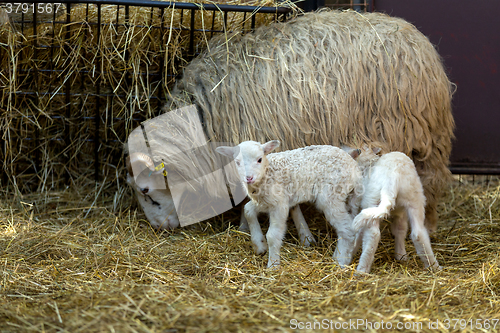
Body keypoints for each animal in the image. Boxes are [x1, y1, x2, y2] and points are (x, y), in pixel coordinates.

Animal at [127, 7, 456, 231]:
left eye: (147, 192)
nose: (160, 227)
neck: (204, 116)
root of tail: (418, 39)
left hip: (420, 131)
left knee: (432, 180)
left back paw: (428, 226)